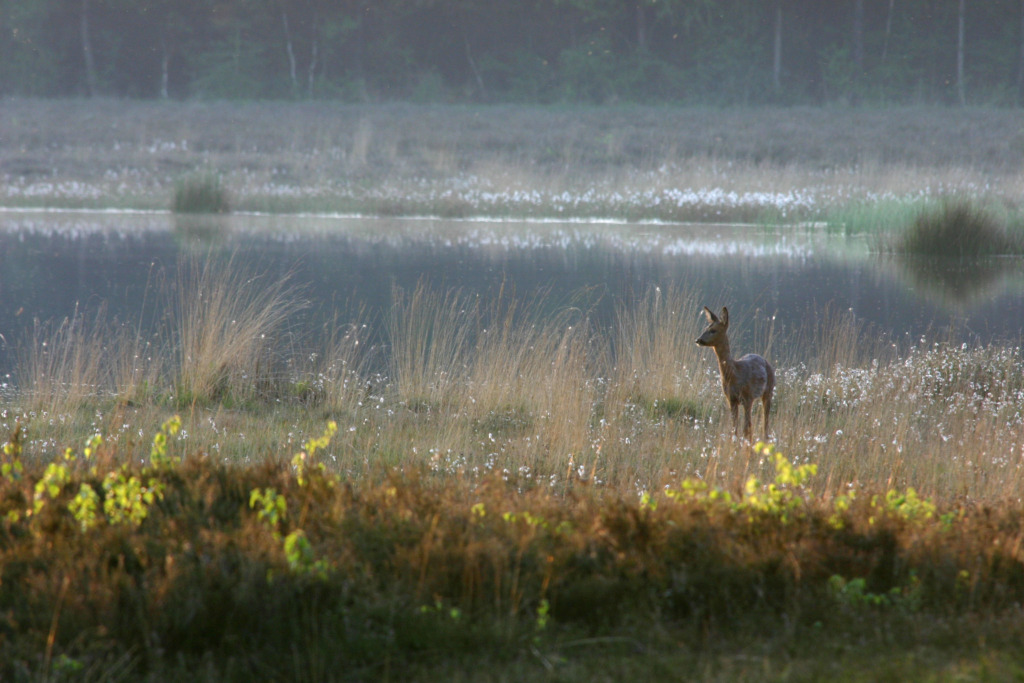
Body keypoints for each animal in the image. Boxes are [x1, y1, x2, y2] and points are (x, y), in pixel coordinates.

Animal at [696, 305, 774, 444]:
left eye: (713, 330)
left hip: (768, 391)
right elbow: (734, 429)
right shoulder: (731, 399)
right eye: (705, 328)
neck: (734, 374)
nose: (698, 340)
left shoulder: (748, 397)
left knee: (764, 423)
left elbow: (745, 429)